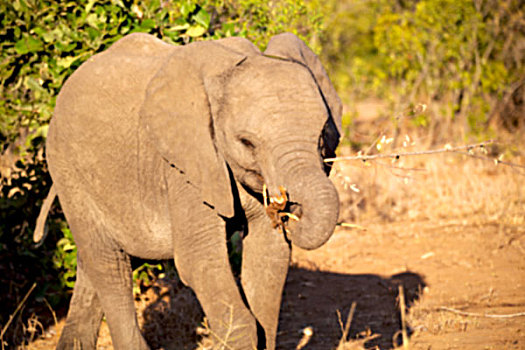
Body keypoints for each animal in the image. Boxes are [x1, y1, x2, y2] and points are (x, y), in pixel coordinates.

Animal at [35, 31, 340, 348]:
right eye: (247, 143)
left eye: (322, 135)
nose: (285, 206)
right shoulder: (183, 165)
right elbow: (199, 261)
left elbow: (269, 258)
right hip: (68, 171)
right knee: (109, 265)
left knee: (92, 262)